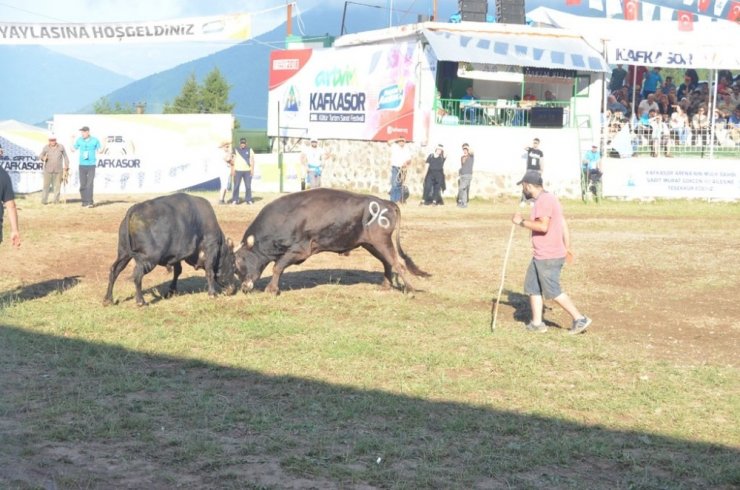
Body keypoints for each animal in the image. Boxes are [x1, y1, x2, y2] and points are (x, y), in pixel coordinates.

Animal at [104, 192, 236, 304]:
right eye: (233, 264)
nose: (232, 289)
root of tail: (134, 209)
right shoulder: (210, 247)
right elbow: (210, 271)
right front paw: (212, 293)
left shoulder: (176, 256)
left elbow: (178, 271)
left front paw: (171, 291)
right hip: (149, 258)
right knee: (137, 275)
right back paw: (141, 301)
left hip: (124, 253)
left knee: (114, 270)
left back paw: (108, 299)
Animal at [234, 188, 430, 294]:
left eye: (239, 262)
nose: (244, 287)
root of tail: (386, 203)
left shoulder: (300, 250)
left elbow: (277, 267)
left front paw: (272, 289)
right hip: (372, 244)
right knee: (387, 263)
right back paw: (386, 285)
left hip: (381, 241)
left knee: (398, 263)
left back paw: (410, 290)